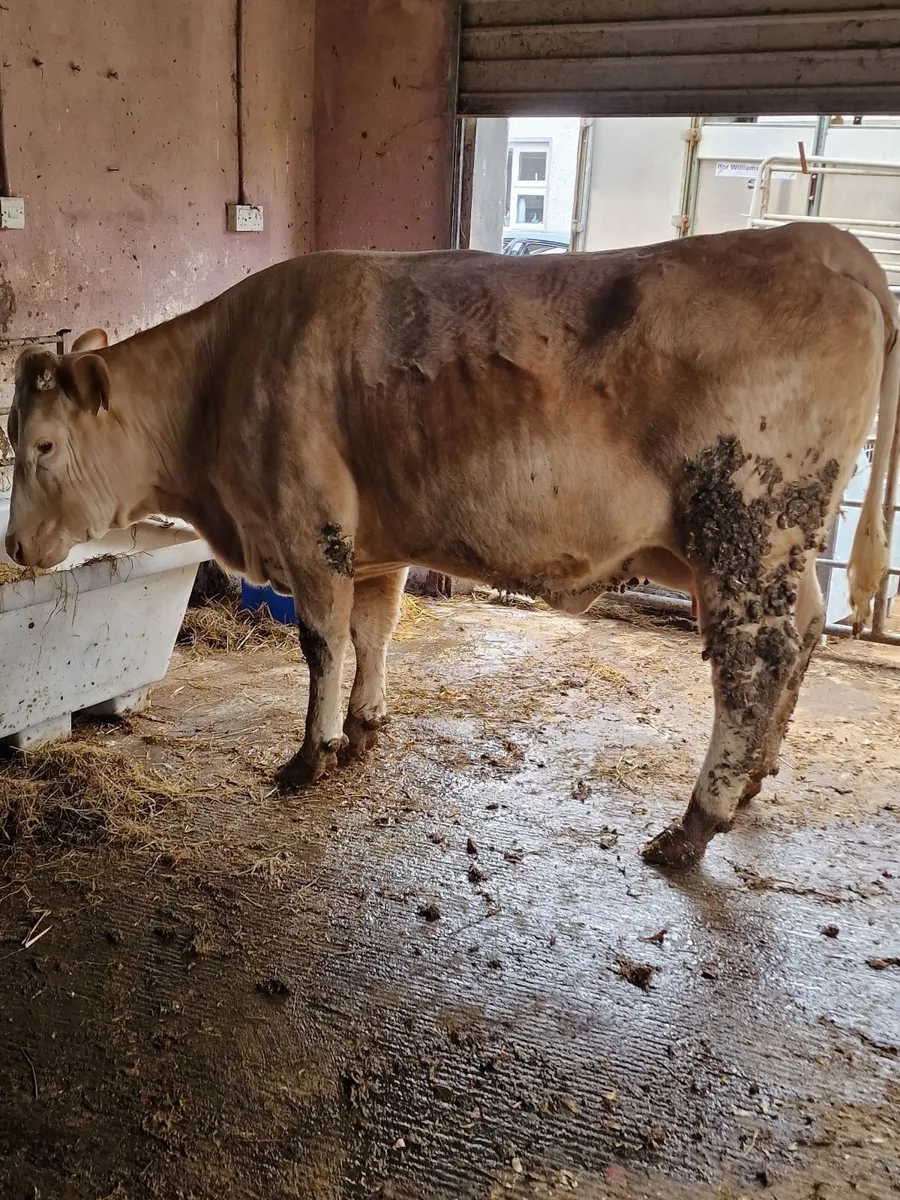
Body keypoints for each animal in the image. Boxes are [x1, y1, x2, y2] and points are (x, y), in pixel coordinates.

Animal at [5, 222, 898, 868]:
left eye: (43, 444)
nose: (13, 546)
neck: (217, 383)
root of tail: (823, 240)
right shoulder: (373, 544)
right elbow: (373, 632)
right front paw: (365, 728)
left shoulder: (309, 530)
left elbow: (322, 645)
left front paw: (310, 755)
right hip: (780, 547)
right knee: (803, 635)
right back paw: (751, 785)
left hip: (746, 525)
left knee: (754, 663)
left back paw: (694, 824)